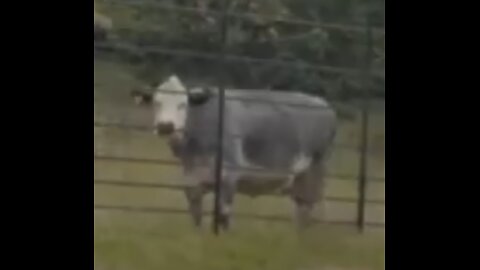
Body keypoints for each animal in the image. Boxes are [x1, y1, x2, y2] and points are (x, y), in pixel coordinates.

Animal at [129, 75, 336, 229]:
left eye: (183, 104)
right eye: (156, 102)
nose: (166, 126)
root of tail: (322, 103)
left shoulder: (229, 175)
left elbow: (223, 215)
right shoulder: (192, 180)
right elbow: (196, 216)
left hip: (314, 171)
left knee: (311, 206)